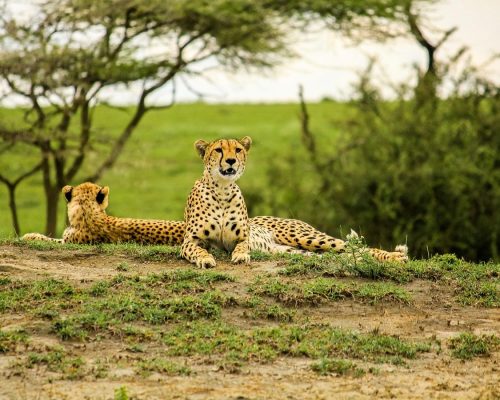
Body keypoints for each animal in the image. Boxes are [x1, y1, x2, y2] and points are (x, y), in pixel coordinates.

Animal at [180, 136, 406, 268]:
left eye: (237, 150)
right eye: (218, 150)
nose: (230, 161)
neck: (222, 189)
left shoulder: (242, 238)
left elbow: (242, 246)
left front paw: (241, 256)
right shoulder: (190, 241)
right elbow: (197, 249)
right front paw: (205, 258)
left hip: (306, 237)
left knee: (356, 248)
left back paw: (395, 257)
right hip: (297, 251)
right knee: (345, 254)